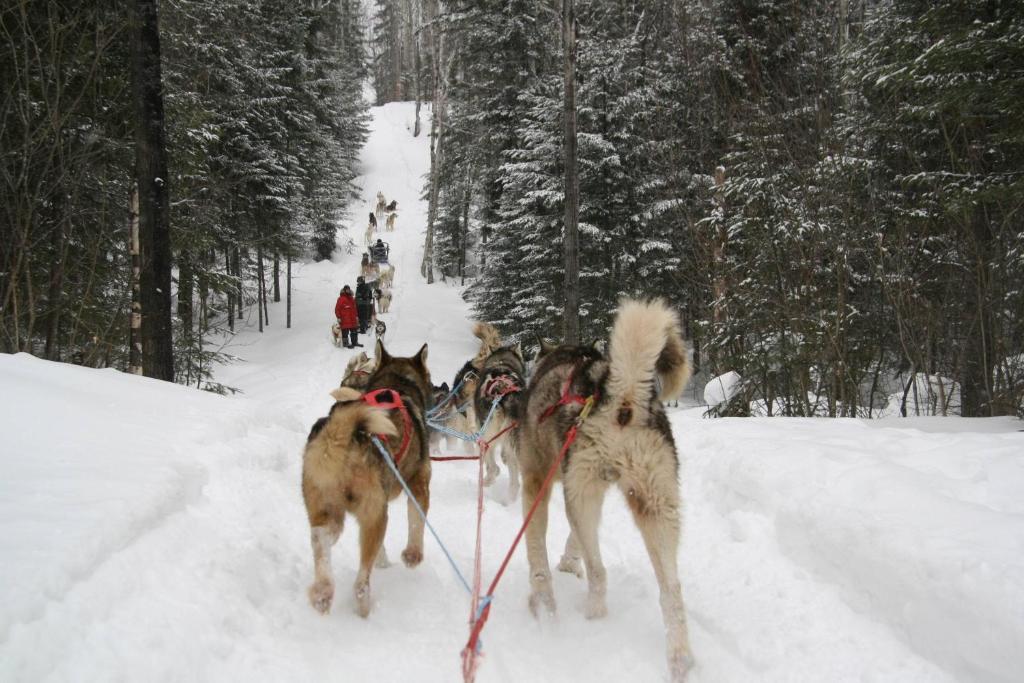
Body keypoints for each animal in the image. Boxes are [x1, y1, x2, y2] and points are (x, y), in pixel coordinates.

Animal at [301, 339, 434, 618]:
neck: (396, 383)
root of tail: (343, 435)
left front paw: (384, 561)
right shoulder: (419, 484)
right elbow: (416, 522)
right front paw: (412, 556)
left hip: (327, 510)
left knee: (320, 541)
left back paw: (323, 592)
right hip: (375, 514)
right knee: (360, 583)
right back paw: (363, 606)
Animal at [516, 301, 692, 683]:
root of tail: (622, 398)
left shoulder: (539, 481)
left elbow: (537, 552)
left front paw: (542, 596)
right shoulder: (572, 486)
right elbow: (571, 540)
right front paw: (568, 562)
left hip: (583, 494)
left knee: (600, 571)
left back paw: (592, 615)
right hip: (655, 507)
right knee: (672, 592)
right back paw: (680, 659)